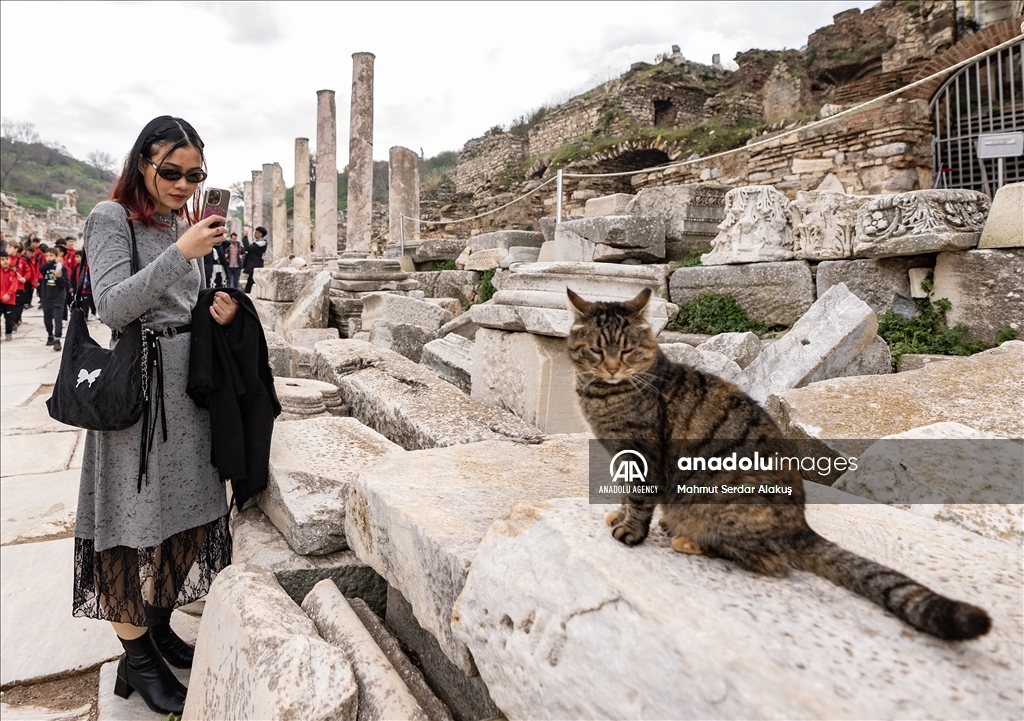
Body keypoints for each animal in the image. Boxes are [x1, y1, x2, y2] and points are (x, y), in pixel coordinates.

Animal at [569, 286, 991, 643]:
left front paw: (630, 531)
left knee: (767, 560)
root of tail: (799, 527)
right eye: (596, 351)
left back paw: (689, 539)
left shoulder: (643, 454)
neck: (601, 395)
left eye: (627, 351)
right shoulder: (623, 457)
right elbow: (626, 495)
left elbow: (639, 500)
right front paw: (619, 515)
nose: (611, 368)